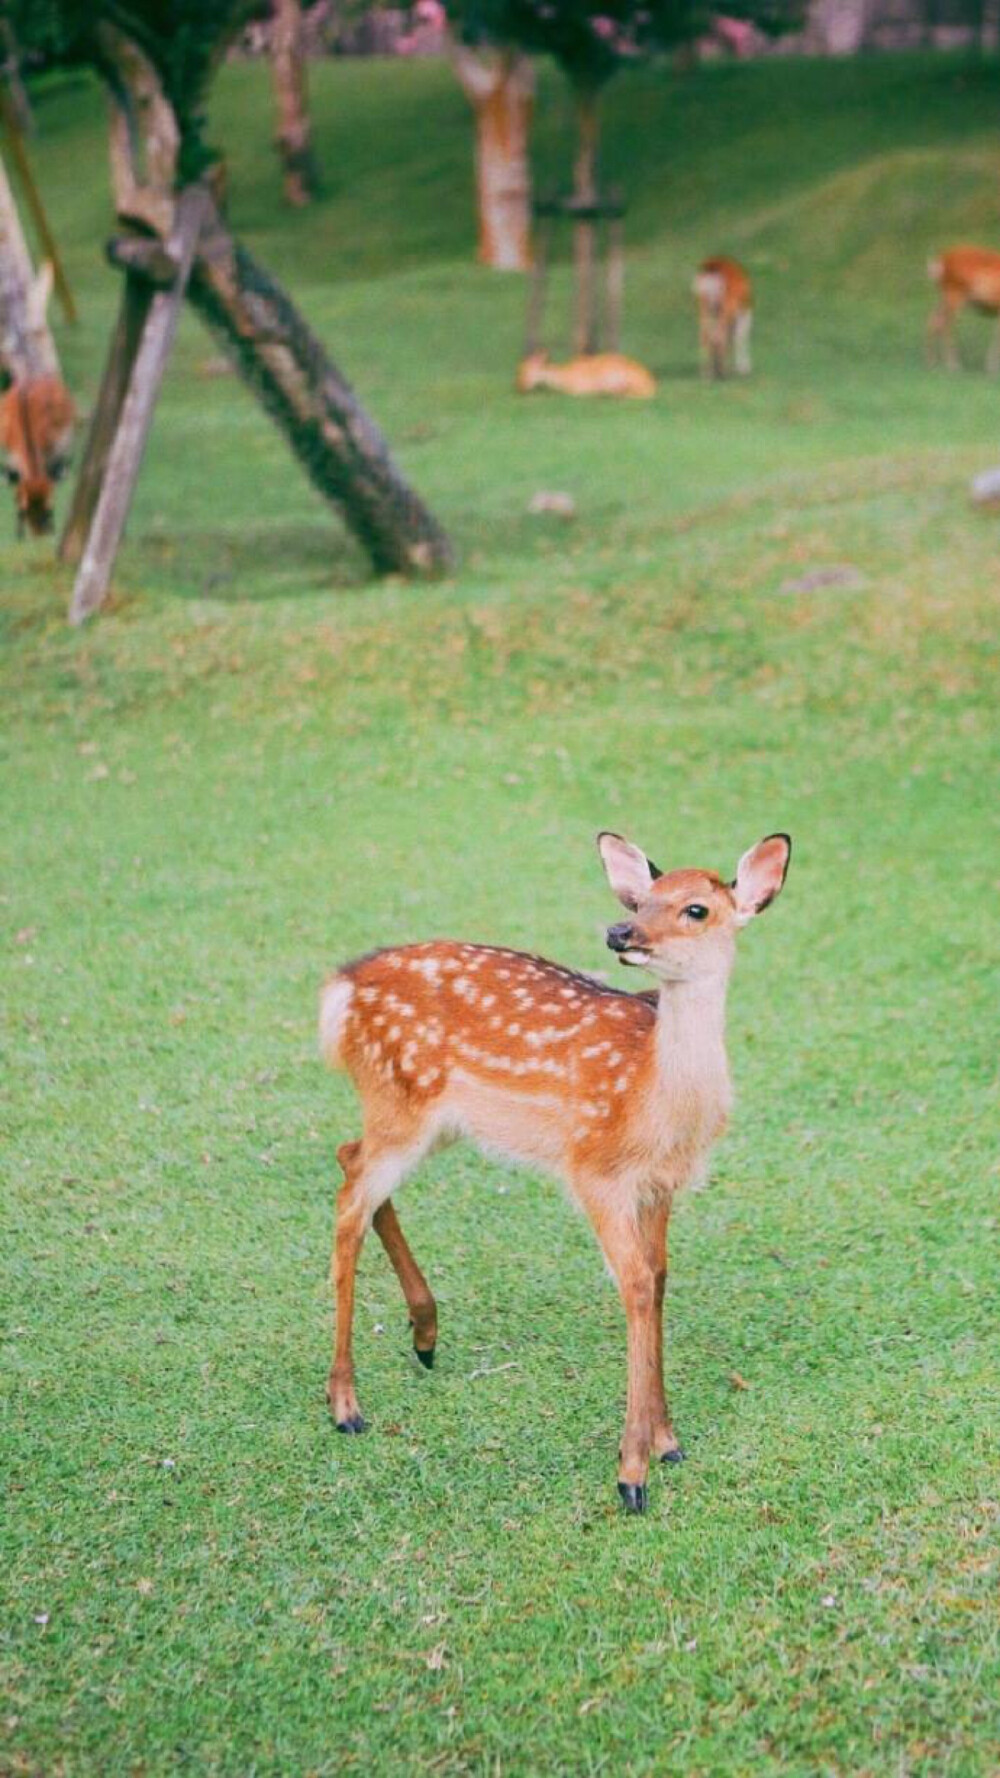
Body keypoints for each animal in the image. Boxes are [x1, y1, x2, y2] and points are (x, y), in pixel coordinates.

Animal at [316, 824, 786, 1507]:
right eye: (640, 899)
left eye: (695, 909)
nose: (620, 933)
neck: (655, 1100)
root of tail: (341, 986)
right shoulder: (593, 1168)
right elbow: (634, 1285)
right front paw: (632, 1473)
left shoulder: (661, 1184)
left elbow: (658, 1280)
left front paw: (667, 1443)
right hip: (399, 1101)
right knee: (350, 1200)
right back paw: (346, 1405)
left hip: (425, 1119)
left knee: (350, 1161)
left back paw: (425, 1336)